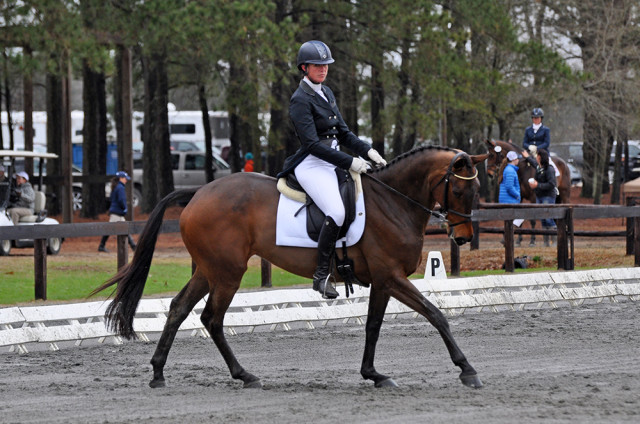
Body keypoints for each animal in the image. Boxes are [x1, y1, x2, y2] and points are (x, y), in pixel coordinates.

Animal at [92, 147, 484, 390]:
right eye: (461, 191)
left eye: (477, 189)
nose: (463, 237)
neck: (393, 202)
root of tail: (199, 193)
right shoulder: (392, 276)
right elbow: (436, 314)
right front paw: (467, 370)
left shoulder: (383, 281)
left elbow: (373, 326)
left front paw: (373, 374)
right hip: (227, 273)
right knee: (211, 318)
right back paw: (244, 375)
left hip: (209, 269)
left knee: (178, 309)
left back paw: (159, 372)